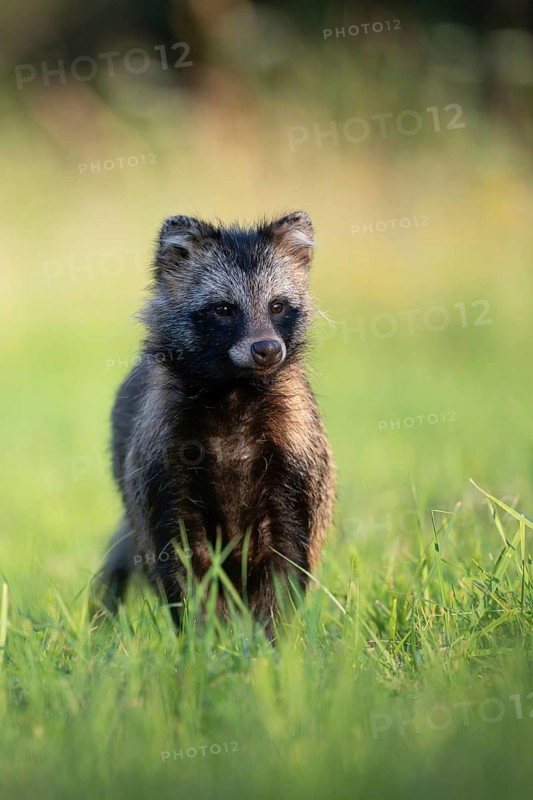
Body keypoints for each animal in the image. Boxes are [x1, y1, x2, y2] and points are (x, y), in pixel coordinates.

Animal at [98, 211, 335, 636]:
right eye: (224, 309)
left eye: (277, 306)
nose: (267, 349)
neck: (234, 393)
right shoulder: (163, 460)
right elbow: (182, 560)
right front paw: (203, 637)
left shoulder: (297, 453)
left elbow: (288, 557)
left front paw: (272, 638)